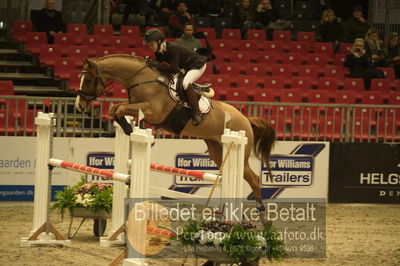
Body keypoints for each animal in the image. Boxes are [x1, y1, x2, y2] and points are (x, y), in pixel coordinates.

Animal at [75, 54, 276, 224]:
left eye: (89, 79)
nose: (79, 106)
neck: (141, 79)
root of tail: (246, 120)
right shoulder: (137, 107)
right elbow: (114, 109)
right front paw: (129, 129)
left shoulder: (152, 111)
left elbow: (120, 109)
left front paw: (136, 132)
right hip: (216, 150)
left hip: (238, 150)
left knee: (254, 179)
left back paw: (263, 218)